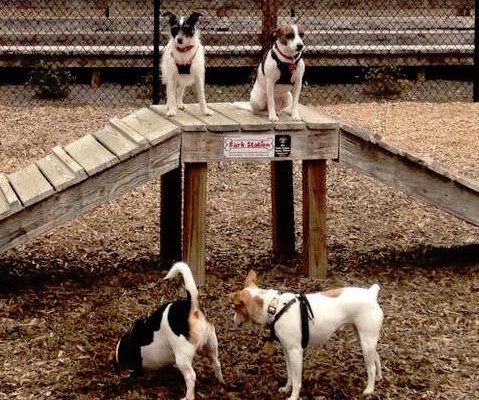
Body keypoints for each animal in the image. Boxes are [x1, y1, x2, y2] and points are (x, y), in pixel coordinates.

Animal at [112, 262, 225, 400]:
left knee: (191, 377)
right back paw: (220, 382)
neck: (130, 339)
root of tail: (190, 306)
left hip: (182, 357)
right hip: (210, 346)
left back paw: (188, 397)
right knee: (217, 363)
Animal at [231, 270, 384, 398]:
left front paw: (293, 396)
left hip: (366, 341)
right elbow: (290, 374)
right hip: (364, 339)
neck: (274, 307)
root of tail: (371, 294)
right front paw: (287, 388)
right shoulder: (287, 351)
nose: (232, 321)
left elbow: (297, 380)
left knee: (371, 367)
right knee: (376, 358)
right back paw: (378, 378)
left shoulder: (295, 352)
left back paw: (369, 389)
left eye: (235, 308)